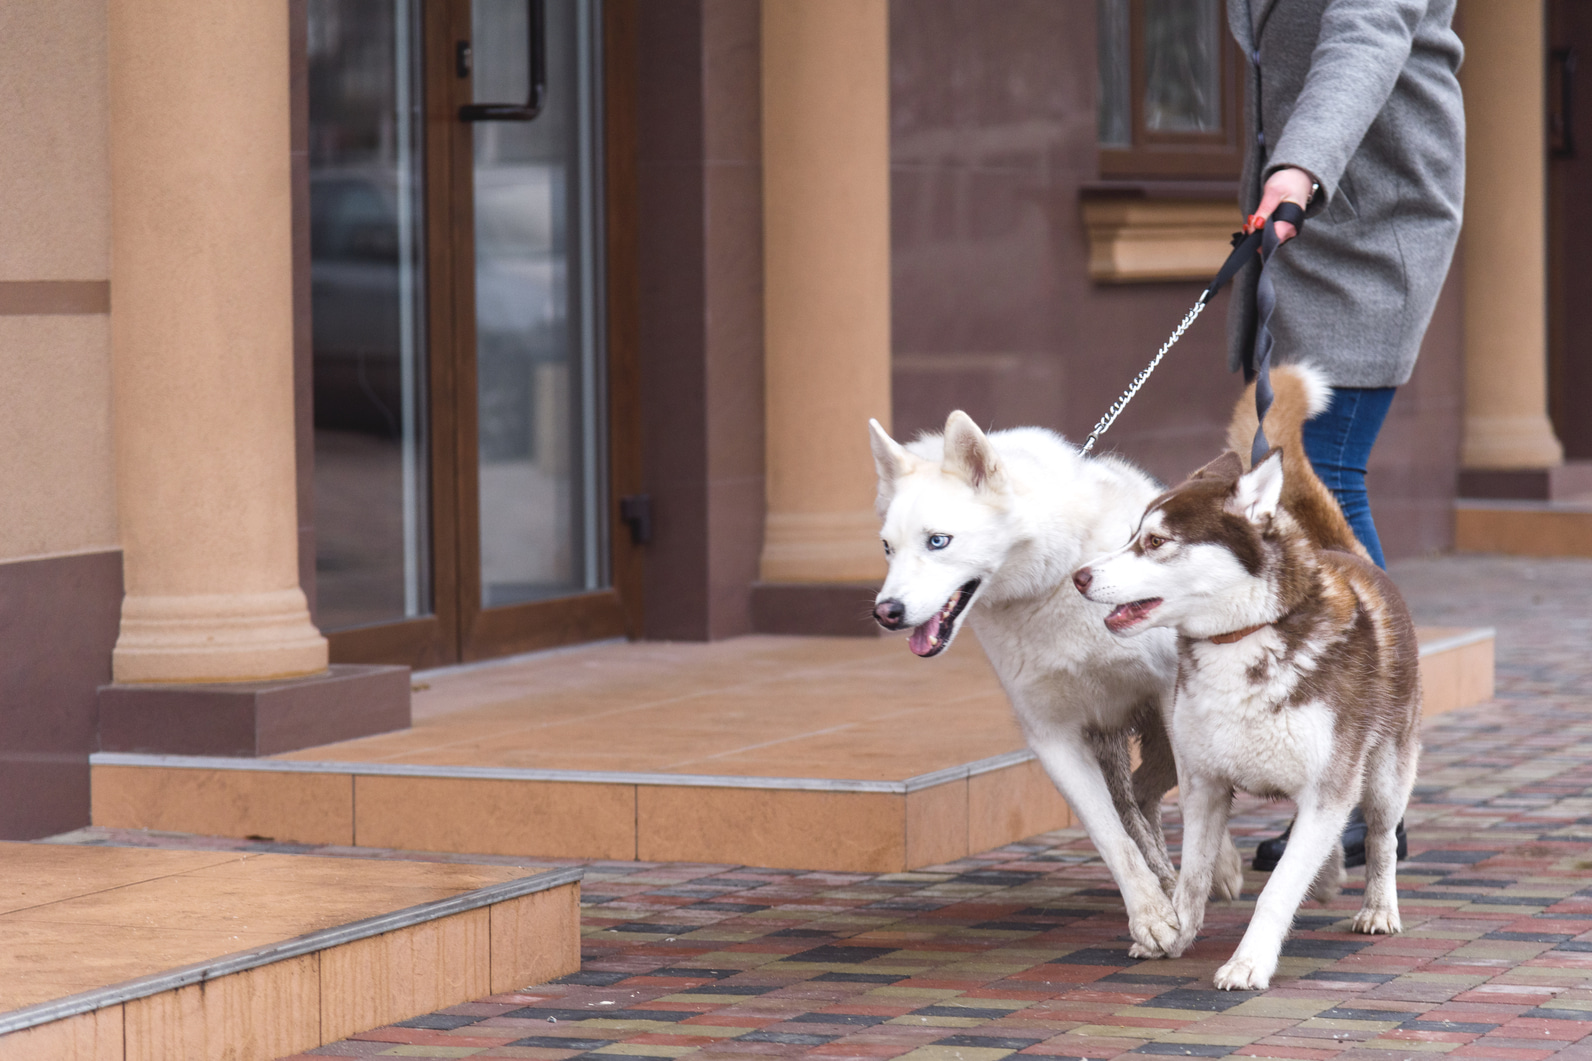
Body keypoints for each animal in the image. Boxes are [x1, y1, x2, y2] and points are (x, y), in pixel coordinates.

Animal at [872, 411, 1241, 949]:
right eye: (888, 548)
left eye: (938, 541)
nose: (885, 613)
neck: (1051, 583)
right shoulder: (1052, 736)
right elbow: (1110, 835)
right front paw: (1151, 914)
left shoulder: (1169, 700)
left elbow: (1199, 806)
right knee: (1138, 802)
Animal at [1069, 366, 1420, 994]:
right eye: (1133, 534)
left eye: (1155, 542)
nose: (1079, 576)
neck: (1241, 638)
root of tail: (1349, 553)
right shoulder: (1204, 783)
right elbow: (1190, 877)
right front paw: (1174, 933)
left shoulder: (1327, 787)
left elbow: (1277, 890)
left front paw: (1250, 961)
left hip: (1385, 773)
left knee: (1380, 836)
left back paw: (1379, 906)